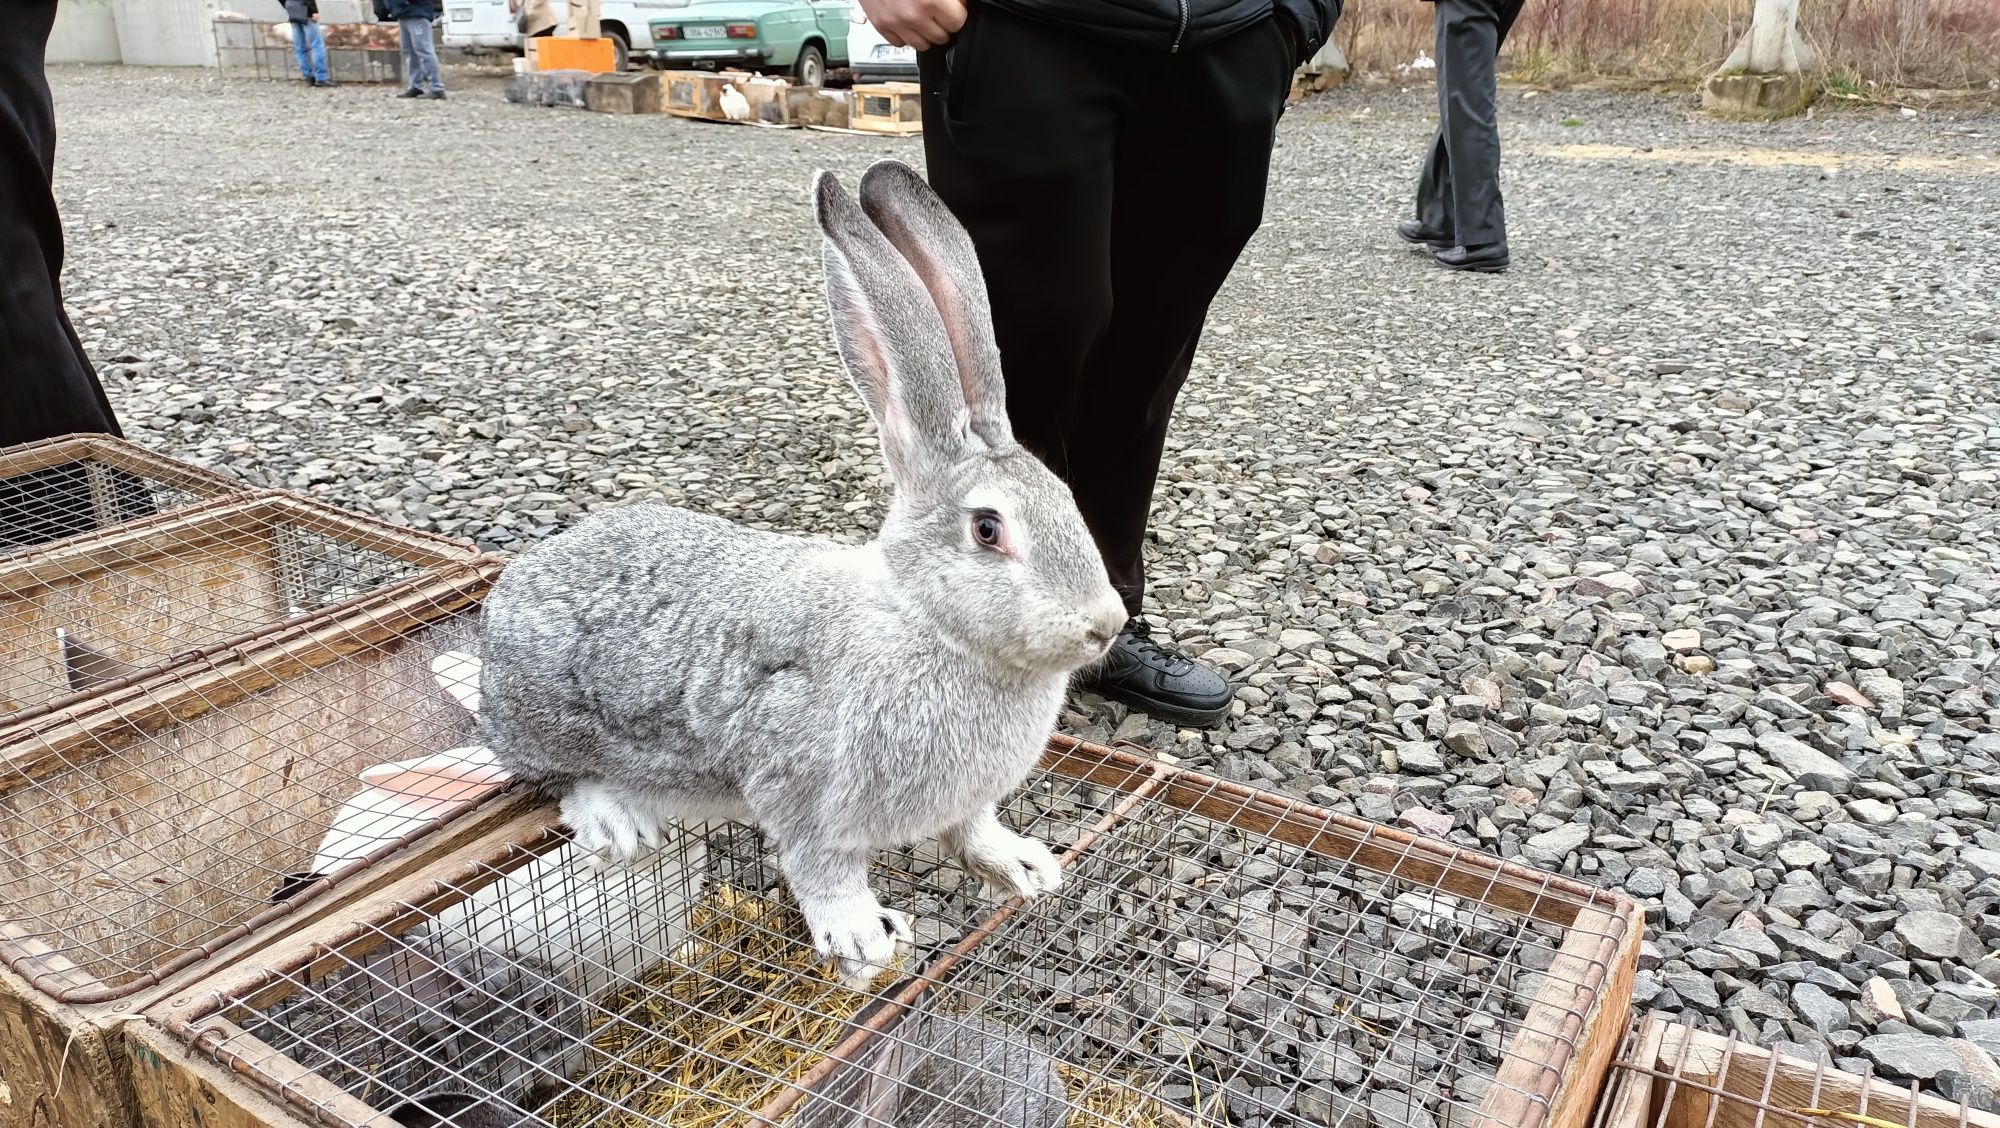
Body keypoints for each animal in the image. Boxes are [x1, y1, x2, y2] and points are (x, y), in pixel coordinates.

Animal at [480, 159, 1128, 988]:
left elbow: (974, 830)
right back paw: (615, 819)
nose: (1106, 624)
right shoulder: (803, 790)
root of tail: (510, 592)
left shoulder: (965, 802)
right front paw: (862, 937)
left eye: (1068, 502)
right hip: (543, 717)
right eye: (988, 530)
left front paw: (1025, 867)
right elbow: (822, 869)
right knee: (547, 776)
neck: (925, 622)